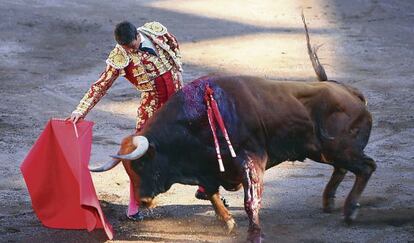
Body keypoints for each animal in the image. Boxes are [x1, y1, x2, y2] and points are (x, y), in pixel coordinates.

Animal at [90, 16, 376, 242]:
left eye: (141, 164)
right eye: (128, 170)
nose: (143, 201)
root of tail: (349, 91)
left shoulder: (251, 160)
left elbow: (251, 201)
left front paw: (254, 234)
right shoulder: (206, 168)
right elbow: (212, 194)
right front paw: (227, 221)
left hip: (340, 147)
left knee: (366, 167)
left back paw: (350, 211)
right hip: (323, 150)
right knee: (342, 168)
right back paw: (329, 202)